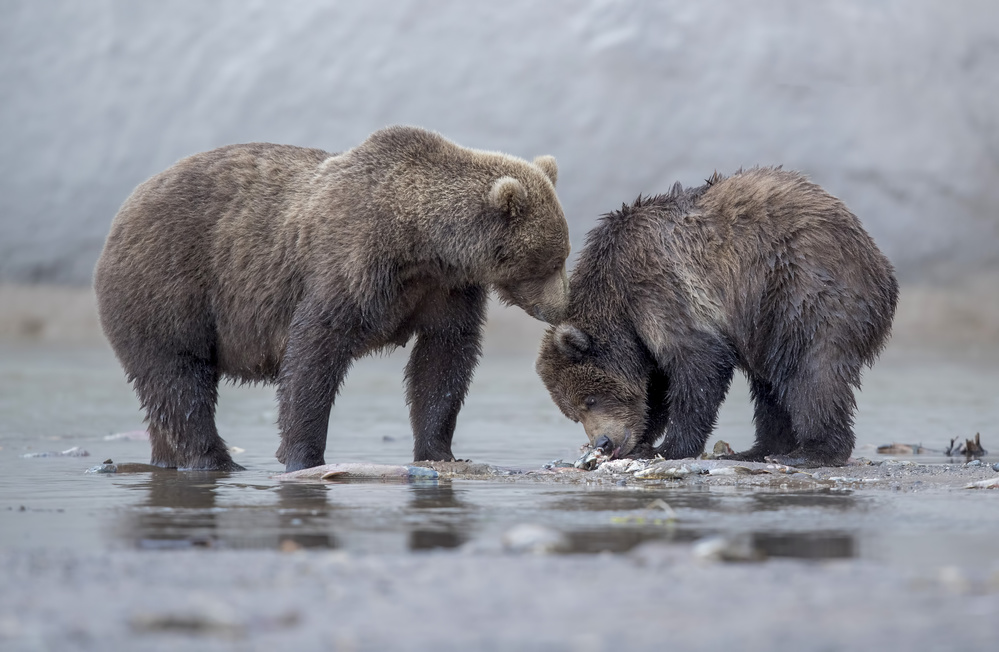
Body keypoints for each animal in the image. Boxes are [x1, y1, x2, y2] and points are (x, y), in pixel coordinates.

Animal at [99, 125, 580, 472]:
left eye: (563, 255)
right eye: (549, 260)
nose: (562, 306)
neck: (422, 245)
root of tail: (120, 215)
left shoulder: (445, 290)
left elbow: (443, 360)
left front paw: (440, 450)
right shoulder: (352, 264)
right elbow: (314, 350)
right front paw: (303, 454)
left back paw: (168, 459)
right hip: (168, 286)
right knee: (179, 377)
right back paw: (216, 460)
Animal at [540, 166, 900, 466]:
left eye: (589, 399)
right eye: (573, 412)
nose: (602, 441)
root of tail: (882, 267)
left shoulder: (657, 287)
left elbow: (699, 364)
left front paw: (665, 448)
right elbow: (656, 386)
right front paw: (642, 440)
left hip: (801, 288)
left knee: (811, 370)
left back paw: (811, 452)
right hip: (764, 320)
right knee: (770, 384)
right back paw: (758, 450)